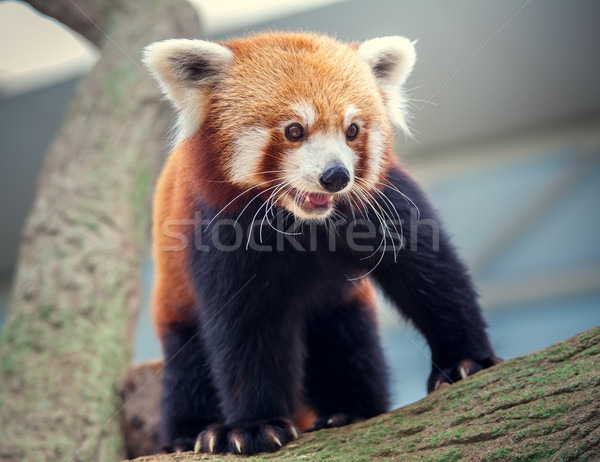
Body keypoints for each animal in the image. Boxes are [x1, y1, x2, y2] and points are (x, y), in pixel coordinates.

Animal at [143, 31, 500, 454]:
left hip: (341, 306)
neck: (303, 222)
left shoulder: (380, 204)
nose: (336, 177)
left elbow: (432, 275)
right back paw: (190, 434)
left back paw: (348, 411)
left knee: (348, 345)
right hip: (175, 307)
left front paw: (465, 360)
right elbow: (243, 331)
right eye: (295, 130)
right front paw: (254, 426)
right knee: (188, 368)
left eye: (352, 130)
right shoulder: (218, 230)